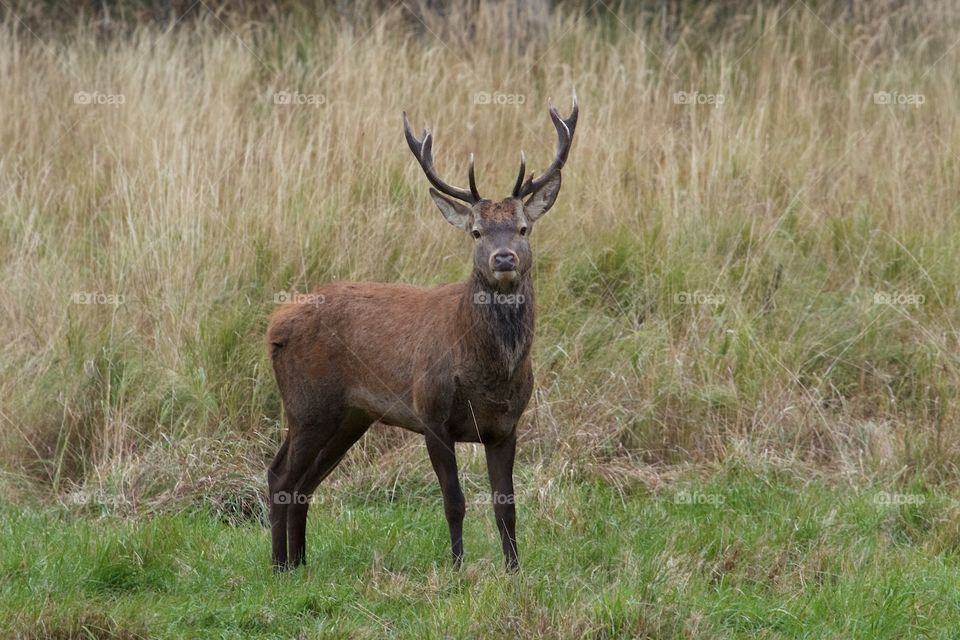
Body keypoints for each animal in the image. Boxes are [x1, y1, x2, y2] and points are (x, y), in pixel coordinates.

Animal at [264, 90, 576, 568]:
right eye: (476, 232)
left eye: (524, 228)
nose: (504, 258)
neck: (488, 373)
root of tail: (274, 326)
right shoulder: (431, 413)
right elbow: (454, 502)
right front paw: (459, 568)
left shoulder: (506, 425)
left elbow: (506, 505)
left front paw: (514, 569)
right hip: (307, 403)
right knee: (280, 476)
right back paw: (280, 567)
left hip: (349, 416)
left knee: (304, 483)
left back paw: (300, 565)